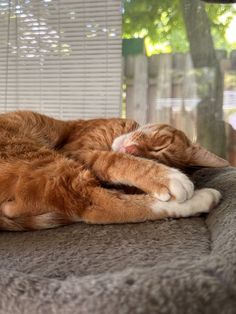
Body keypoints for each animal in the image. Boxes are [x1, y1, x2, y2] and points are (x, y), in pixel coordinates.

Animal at [0, 110, 227, 231]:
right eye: (160, 145)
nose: (131, 150)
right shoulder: (75, 151)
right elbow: (113, 159)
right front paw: (165, 174)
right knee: (96, 204)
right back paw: (201, 196)